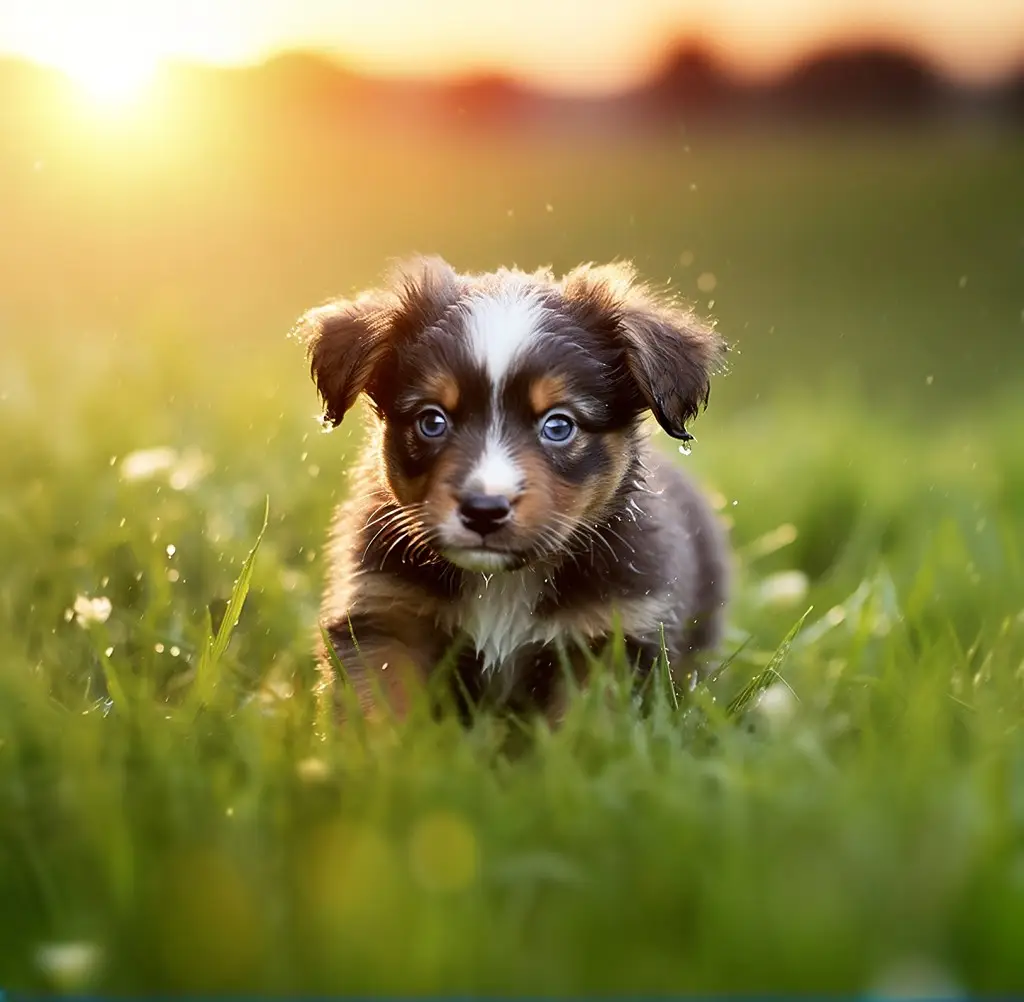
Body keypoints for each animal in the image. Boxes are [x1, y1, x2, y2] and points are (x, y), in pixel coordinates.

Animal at [292, 254, 733, 724]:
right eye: (432, 421)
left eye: (558, 426)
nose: (484, 510)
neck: (501, 584)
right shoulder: (384, 619)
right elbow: (379, 714)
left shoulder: (610, 634)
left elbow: (587, 731)